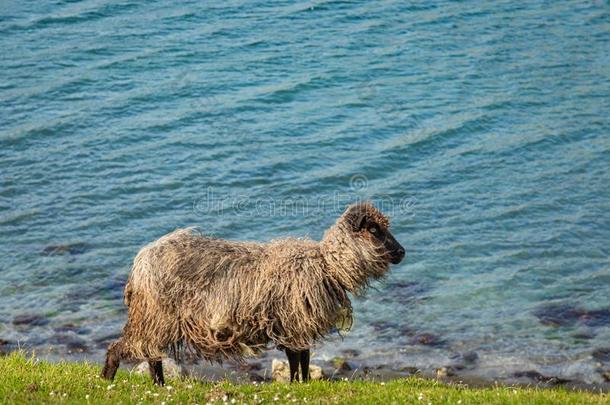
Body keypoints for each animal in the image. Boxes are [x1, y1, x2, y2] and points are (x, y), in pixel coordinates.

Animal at [100, 200, 404, 384]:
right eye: (374, 229)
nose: (402, 252)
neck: (327, 264)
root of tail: (140, 262)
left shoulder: (294, 326)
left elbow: (303, 359)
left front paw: (303, 384)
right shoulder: (292, 324)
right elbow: (297, 359)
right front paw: (297, 386)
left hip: (156, 319)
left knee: (151, 355)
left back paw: (158, 386)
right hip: (155, 315)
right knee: (128, 348)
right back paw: (108, 379)